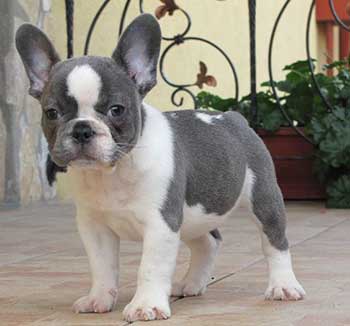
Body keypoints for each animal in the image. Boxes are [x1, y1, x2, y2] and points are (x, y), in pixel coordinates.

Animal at [15, 14, 304, 322]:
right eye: (51, 113)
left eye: (117, 110)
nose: (82, 129)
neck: (114, 172)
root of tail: (233, 118)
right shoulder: (95, 228)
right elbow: (102, 267)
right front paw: (99, 299)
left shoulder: (160, 223)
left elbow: (150, 267)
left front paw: (146, 305)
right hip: (193, 217)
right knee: (209, 241)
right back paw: (191, 284)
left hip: (263, 198)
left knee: (275, 242)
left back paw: (283, 286)